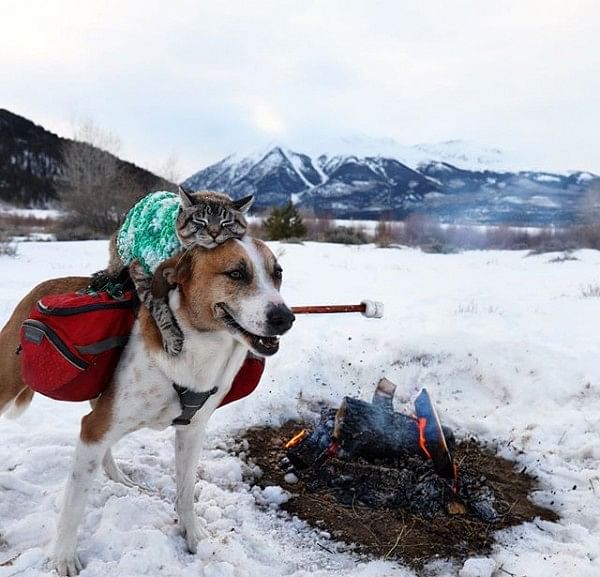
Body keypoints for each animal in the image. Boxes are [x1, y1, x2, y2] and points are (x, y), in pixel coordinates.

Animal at [0, 236, 296, 572]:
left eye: (277, 273)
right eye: (236, 273)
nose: (285, 318)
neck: (196, 351)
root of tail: (43, 287)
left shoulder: (191, 432)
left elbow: (185, 493)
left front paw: (193, 536)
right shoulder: (98, 427)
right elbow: (74, 504)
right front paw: (63, 555)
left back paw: (119, 478)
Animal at [104, 184, 252, 356]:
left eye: (226, 222)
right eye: (200, 221)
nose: (214, 233)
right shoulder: (141, 270)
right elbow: (158, 307)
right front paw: (171, 335)